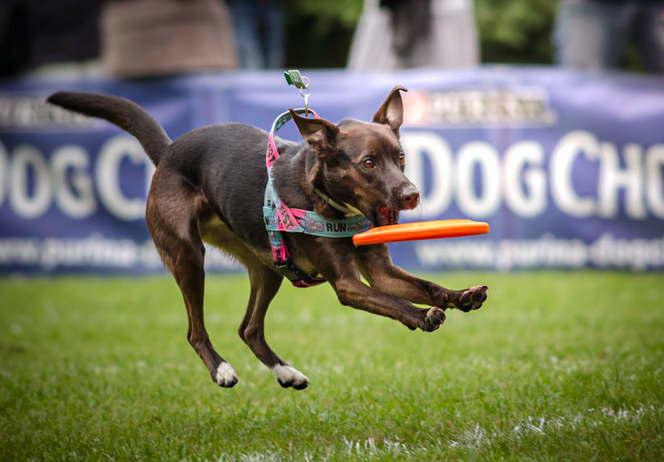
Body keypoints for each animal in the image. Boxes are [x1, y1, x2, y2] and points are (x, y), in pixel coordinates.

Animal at [48, 87, 488, 390]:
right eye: (367, 163)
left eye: (400, 158)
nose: (411, 194)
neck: (327, 199)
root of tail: (170, 150)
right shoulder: (347, 284)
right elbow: (394, 302)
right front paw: (421, 315)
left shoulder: (380, 270)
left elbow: (422, 285)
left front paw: (461, 296)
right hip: (188, 255)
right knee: (195, 329)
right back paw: (221, 370)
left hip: (267, 266)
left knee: (249, 328)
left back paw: (286, 372)